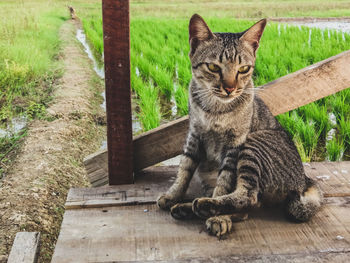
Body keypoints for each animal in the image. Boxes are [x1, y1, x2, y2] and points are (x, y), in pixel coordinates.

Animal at [157, 13, 322, 238]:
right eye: (213, 67)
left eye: (243, 69)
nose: (229, 88)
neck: (215, 110)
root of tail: (304, 179)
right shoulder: (194, 135)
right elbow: (184, 168)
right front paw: (173, 195)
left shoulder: (234, 145)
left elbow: (224, 182)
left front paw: (218, 218)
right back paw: (187, 208)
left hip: (253, 145)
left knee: (248, 198)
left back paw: (207, 207)